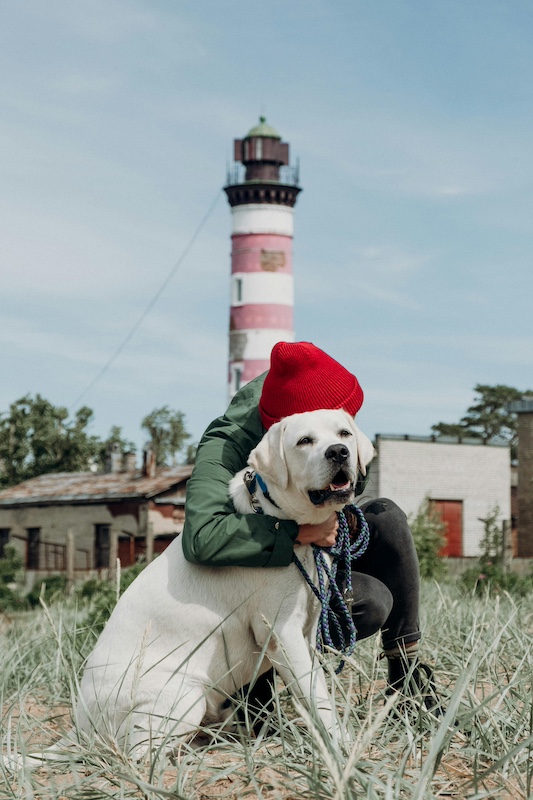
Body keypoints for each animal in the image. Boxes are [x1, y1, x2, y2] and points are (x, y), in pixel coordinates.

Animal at [9, 410, 374, 764]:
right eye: (304, 441)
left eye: (343, 434)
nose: (338, 452)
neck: (283, 519)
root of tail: (80, 727)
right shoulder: (280, 633)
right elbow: (318, 696)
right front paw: (341, 747)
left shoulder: (307, 631)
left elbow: (313, 689)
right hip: (183, 696)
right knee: (133, 757)